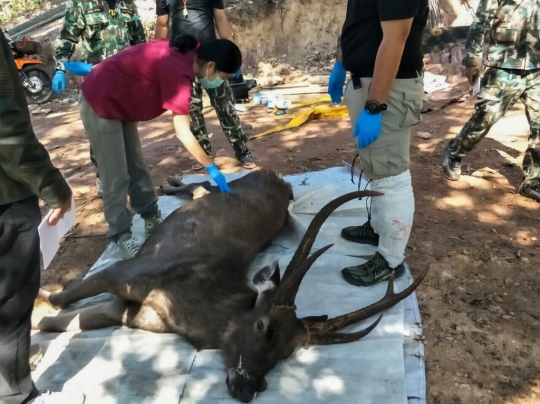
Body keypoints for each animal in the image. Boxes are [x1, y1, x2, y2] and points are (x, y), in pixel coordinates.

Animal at [34, 169, 430, 402]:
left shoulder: (133, 312)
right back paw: (170, 182)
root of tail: (279, 179)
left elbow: (62, 322)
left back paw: (172, 184)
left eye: (285, 354)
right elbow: (63, 300)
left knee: (201, 188)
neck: (192, 311)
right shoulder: (125, 272)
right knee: (205, 183)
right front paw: (40, 296)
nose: (246, 388)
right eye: (261, 324)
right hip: (230, 186)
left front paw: (39, 323)